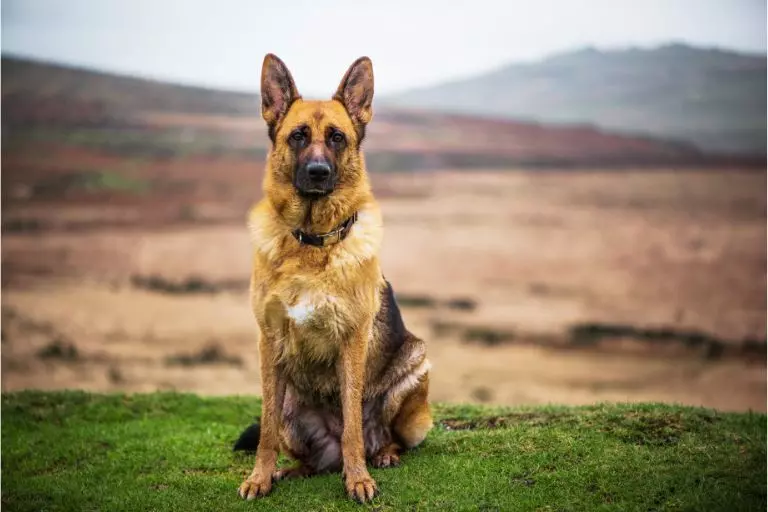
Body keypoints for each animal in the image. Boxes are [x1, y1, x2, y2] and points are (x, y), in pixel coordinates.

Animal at [236, 54, 432, 502]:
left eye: (337, 138)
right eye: (298, 136)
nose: (318, 172)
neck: (312, 243)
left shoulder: (352, 338)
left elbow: (353, 427)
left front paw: (358, 479)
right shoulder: (268, 341)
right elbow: (265, 428)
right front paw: (259, 476)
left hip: (415, 366)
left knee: (378, 436)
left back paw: (382, 455)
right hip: (292, 409)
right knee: (309, 454)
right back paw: (292, 471)